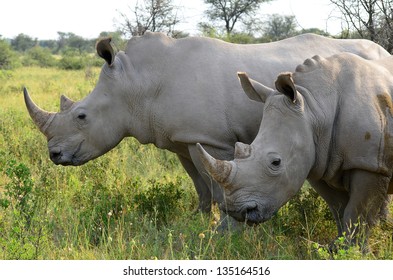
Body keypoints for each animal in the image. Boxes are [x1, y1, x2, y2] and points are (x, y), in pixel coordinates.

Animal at [23, 31, 388, 221]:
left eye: (81, 116)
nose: (54, 154)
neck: (136, 85)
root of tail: (382, 50)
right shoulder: (182, 138)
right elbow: (199, 183)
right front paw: (197, 219)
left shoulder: (212, 139)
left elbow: (213, 183)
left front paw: (220, 225)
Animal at [198, 53, 392, 242]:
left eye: (276, 162)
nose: (236, 210)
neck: (316, 106)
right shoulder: (320, 162)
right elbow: (339, 210)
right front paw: (337, 247)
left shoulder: (369, 165)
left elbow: (357, 216)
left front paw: (354, 248)